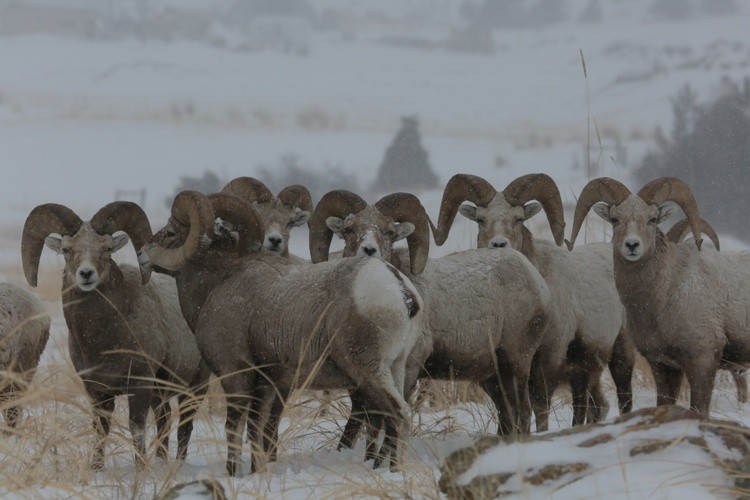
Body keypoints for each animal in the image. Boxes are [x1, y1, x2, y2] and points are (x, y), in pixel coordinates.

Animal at [21, 202, 210, 469]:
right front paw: (96, 468)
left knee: (184, 427)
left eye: (107, 249)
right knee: (164, 422)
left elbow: (136, 429)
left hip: (194, 388)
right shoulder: (96, 391)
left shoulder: (139, 385)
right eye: (67, 250)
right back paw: (162, 463)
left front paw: (140, 470)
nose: (86, 274)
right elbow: (100, 429)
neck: (101, 340)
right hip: (160, 394)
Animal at [141, 191, 427, 475]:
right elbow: (257, 430)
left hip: (368, 370)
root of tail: (400, 289)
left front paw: (233, 474)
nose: (143, 253)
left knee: (399, 415)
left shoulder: (236, 375)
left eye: (170, 233)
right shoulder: (266, 385)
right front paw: (257, 471)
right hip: (396, 368)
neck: (217, 284)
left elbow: (234, 429)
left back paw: (393, 471)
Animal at [309, 189, 552, 439]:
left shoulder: (408, 369)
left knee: (523, 412)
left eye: (389, 232)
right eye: (349, 230)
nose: (369, 250)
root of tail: (536, 280)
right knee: (508, 415)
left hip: (515, 363)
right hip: (491, 377)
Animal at [430, 173, 633, 430]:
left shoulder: (547, 359)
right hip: (587, 372)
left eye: (518, 218)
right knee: (596, 407)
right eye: (480, 219)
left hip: (620, 353)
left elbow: (539, 407)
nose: (499, 244)